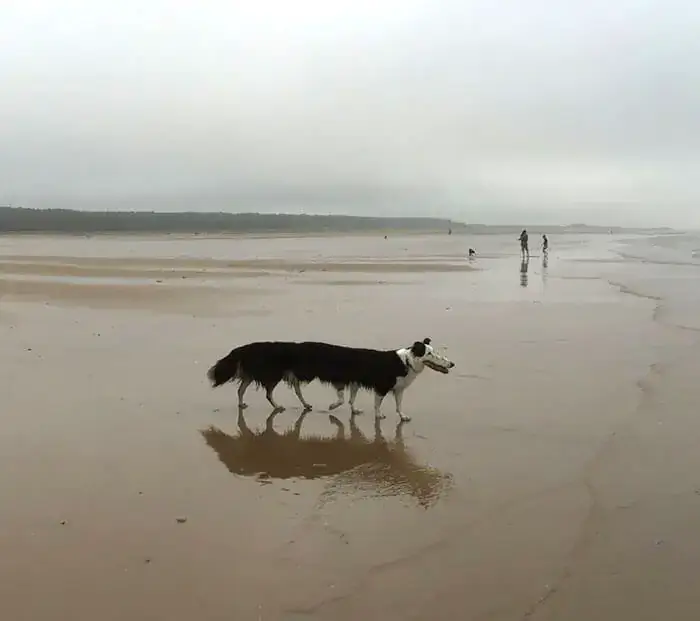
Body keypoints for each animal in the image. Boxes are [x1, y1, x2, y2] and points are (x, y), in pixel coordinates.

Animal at [206, 340, 460, 422]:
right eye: (431, 354)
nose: (452, 364)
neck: (405, 361)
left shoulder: (394, 389)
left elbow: (395, 404)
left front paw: (402, 416)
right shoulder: (377, 385)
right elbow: (372, 403)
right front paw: (377, 415)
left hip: (277, 375)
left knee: (243, 387)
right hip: (274, 375)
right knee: (266, 392)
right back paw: (278, 406)